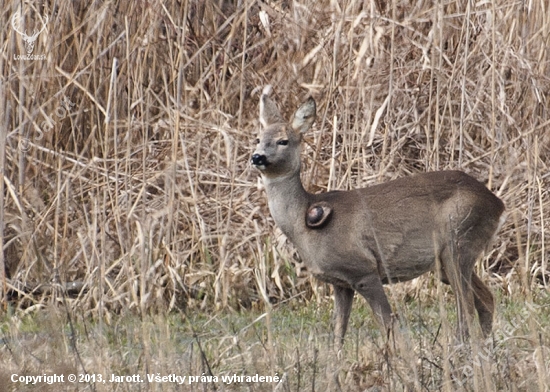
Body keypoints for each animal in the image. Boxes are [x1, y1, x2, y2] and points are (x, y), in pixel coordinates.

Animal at [252, 86, 506, 344]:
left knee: (466, 306)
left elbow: (388, 324)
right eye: (258, 138)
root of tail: (497, 204)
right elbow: (338, 333)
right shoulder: (340, 283)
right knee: (486, 299)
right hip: (448, 259)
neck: (303, 225)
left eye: (283, 141)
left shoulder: (363, 270)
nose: (257, 157)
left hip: (459, 240)